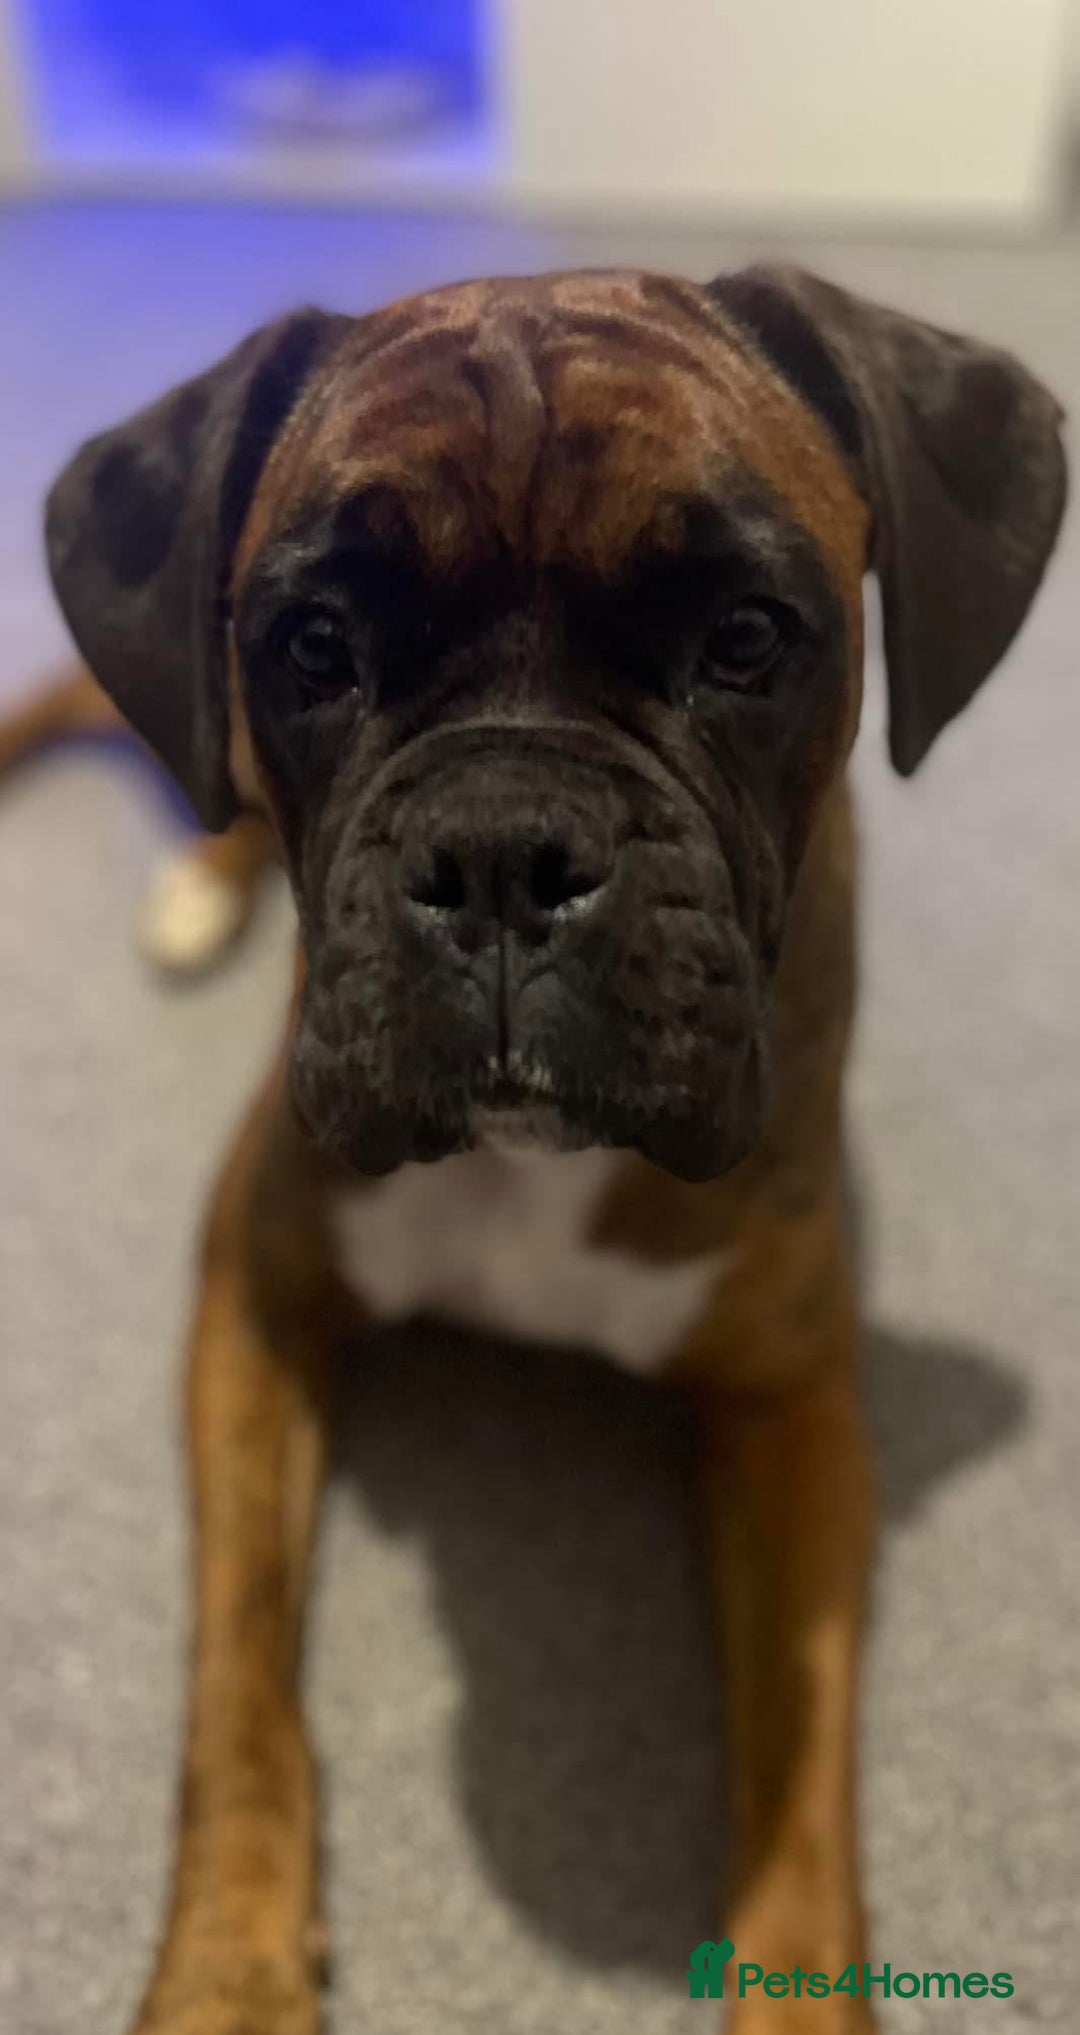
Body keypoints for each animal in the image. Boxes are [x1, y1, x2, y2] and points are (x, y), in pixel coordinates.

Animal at [31, 264, 1065, 2033]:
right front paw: (228, 1966)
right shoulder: (253, 1300)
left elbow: (803, 1746)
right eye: (312, 646)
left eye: (746, 638)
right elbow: (237, 1688)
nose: (505, 845)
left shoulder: (793, 1406)